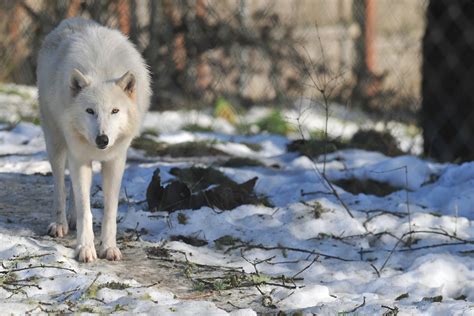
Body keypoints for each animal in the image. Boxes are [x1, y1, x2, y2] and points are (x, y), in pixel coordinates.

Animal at [37, 18, 151, 262]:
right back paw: (60, 223)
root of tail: (71, 20)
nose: (102, 139)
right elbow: (85, 210)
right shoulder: (79, 157)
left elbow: (109, 211)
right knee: (60, 186)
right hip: (55, 143)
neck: (102, 71)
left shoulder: (115, 161)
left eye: (115, 111)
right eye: (90, 111)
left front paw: (109, 248)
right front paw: (85, 248)